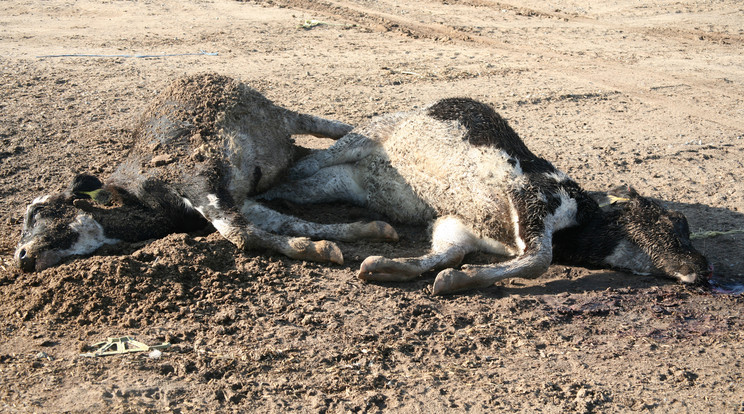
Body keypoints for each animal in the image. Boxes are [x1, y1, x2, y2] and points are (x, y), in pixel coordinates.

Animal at [14, 73, 398, 272]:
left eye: (39, 210)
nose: (21, 258)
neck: (140, 199)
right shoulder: (238, 200)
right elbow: (288, 222)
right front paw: (364, 230)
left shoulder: (198, 181)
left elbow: (240, 234)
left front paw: (317, 250)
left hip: (280, 113)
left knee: (331, 127)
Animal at [264, 97, 712, 294]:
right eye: (669, 220)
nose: (705, 269)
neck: (577, 221)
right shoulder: (531, 195)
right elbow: (538, 260)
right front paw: (452, 281)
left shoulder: (458, 226)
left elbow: (447, 254)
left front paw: (387, 268)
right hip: (364, 135)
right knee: (301, 165)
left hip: (339, 182)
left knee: (293, 187)